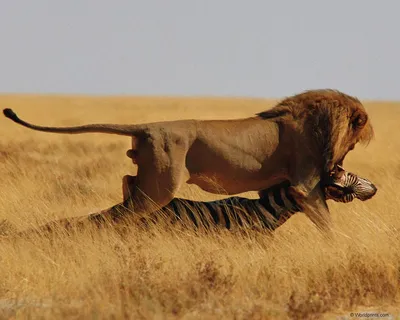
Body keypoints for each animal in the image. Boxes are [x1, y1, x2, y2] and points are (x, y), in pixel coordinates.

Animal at [3, 89, 374, 231]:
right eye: (354, 145)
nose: (338, 167)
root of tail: (148, 127)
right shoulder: (304, 185)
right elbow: (327, 225)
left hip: (150, 180)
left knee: (125, 186)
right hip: (161, 186)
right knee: (122, 211)